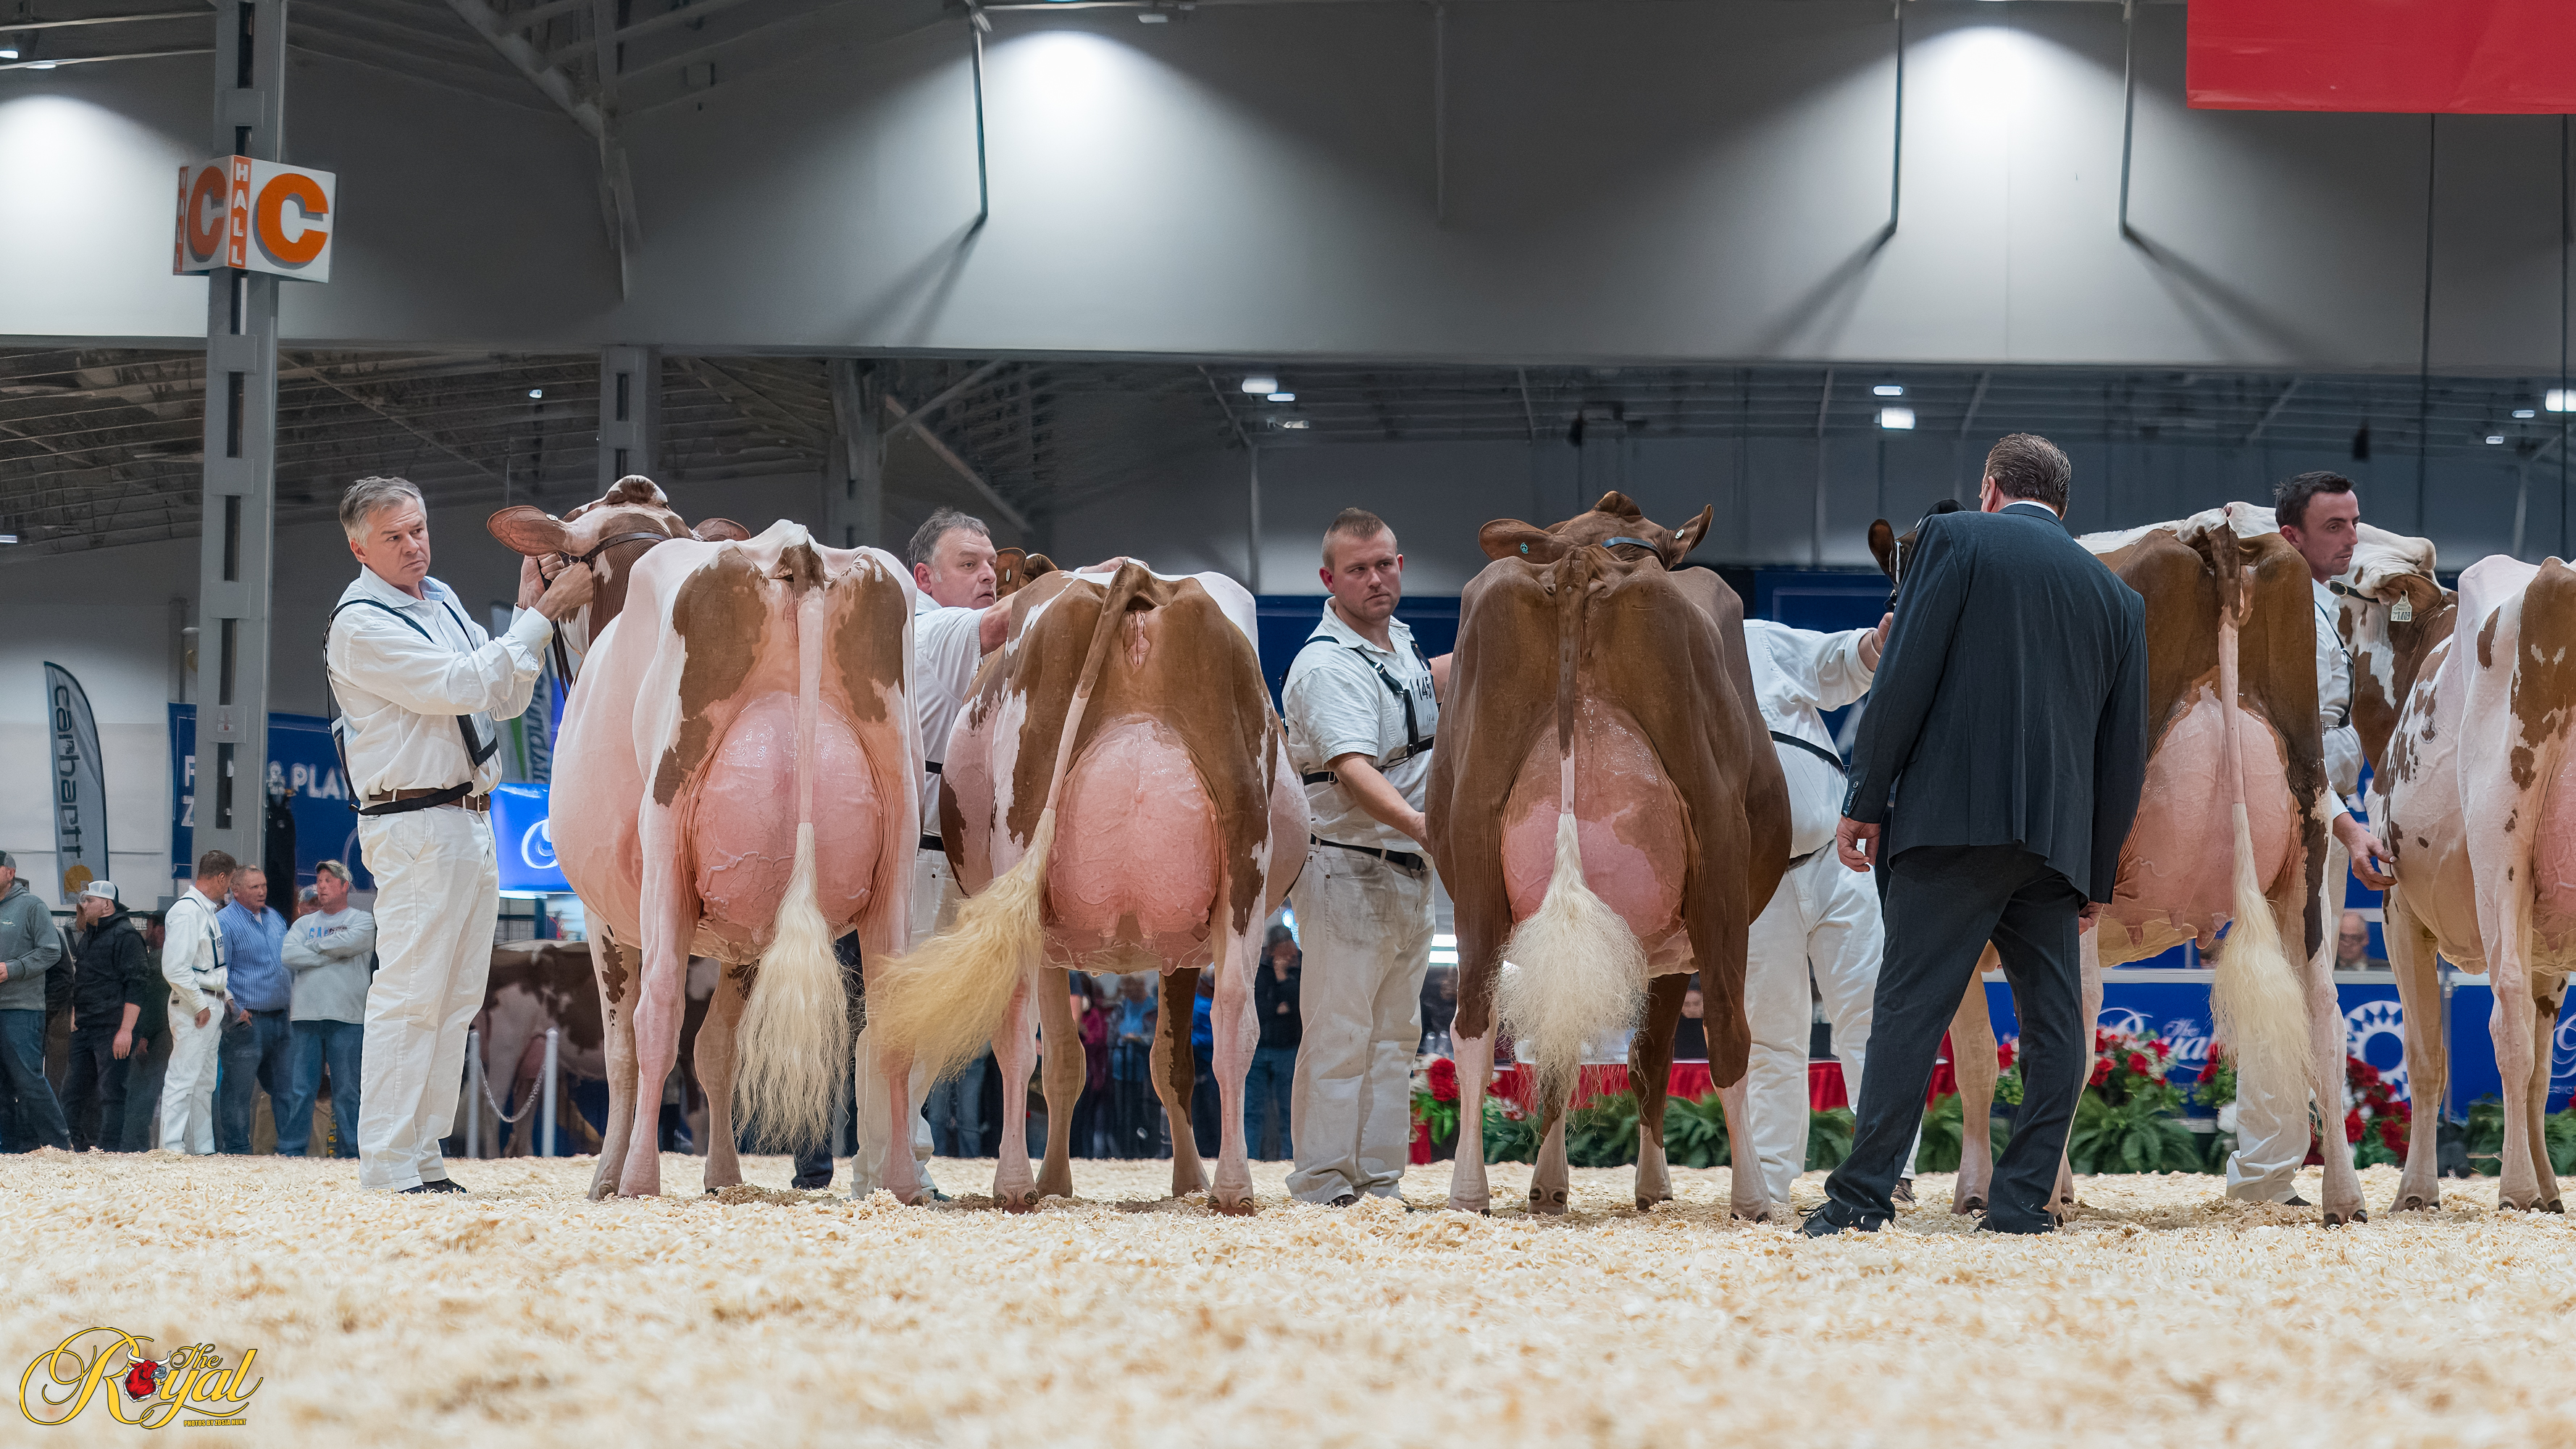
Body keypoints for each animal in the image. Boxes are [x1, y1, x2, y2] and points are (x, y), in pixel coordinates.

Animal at [488, 482, 921, 1200]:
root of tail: (795, 549)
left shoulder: (606, 919)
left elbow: (623, 1051)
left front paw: (606, 1176)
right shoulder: (742, 935)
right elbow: (719, 1048)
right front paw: (723, 1175)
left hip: (666, 835)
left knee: (656, 1013)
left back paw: (639, 1178)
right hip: (895, 851)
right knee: (892, 1015)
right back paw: (904, 1185)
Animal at [868, 560, 1303, 1214]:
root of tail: (1138, 575)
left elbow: (1082, 1062)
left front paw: (1067, 1180)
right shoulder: (1177, 945)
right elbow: (1162, 1062)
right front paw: (1182, 1180)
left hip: (1032, 849)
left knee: (1017, 1030)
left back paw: (1014, 1183)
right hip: (1241, 867)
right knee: (1234, 1019)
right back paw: (1232, 1188)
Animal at [1430, 491, 1791, 1220]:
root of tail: (1580, 562)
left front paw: (1551, 1185)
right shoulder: (1672, 949)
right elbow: (1653, 1057)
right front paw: (1652, 1186)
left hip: (1474, 851)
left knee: (1478, 1026)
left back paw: (1471, 1191)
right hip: (1717, 860)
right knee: (1728, 1031)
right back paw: (1752, 1197)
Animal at [1870, 501, 2358, 1223]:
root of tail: (2209, 533)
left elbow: (1979, 1061)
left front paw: (1982, 1188)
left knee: (2081, 1009)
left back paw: (2037, 1199)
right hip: (2309, 838)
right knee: (2322, 1005)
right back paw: (2346, 1197)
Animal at [2338, 532, 2575, 1212]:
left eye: (2346, 577)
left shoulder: (2397, 910)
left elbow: (2425, 1057)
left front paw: (2416, 1191)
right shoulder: (2551, 947)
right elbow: (2543, 1078)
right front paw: (2551, 1189)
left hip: (2500, 849)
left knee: (2506, 1011)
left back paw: (2513, 1188)